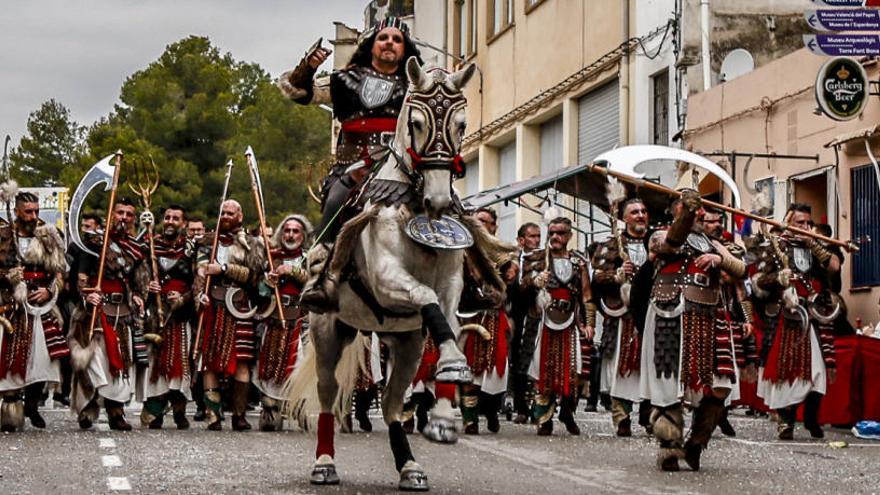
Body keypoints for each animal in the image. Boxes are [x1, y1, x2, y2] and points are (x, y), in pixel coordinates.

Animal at [288, 58, 496, 492]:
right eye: (416, 121)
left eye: (461, 123)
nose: (438, 200)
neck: (411, 203)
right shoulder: (387, 278)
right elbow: (425, 296)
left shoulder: (450, 285)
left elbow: (448, 318)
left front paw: (445, 413)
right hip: (328, 331)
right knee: (329, 392)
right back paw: (324, 463)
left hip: (405, 343)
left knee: (393, 404)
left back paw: (409, 467)